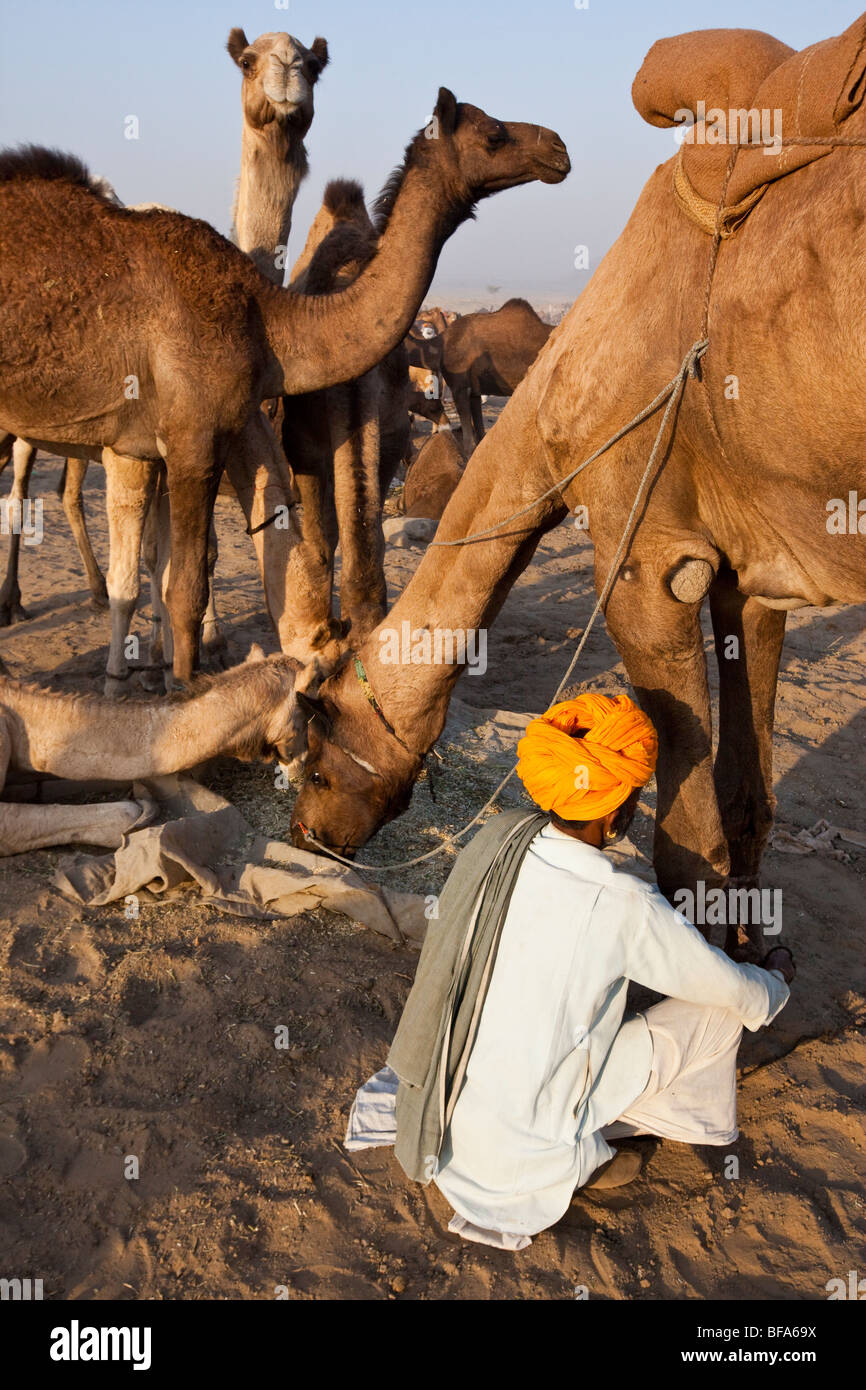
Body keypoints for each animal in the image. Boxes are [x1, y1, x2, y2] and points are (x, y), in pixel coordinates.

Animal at [0, 92, 572, 689]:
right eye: (494, 133)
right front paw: (184, 689)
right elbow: (186, 586)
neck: (271, 320)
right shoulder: (194, 438)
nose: (558, 148)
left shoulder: (163, 446)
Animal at [291, 16, 866, 939]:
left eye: (315, 758)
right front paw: (760, 947)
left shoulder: (646, 556)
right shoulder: (751, 564)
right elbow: (746, 793)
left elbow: (688, 843)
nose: (306, 831)